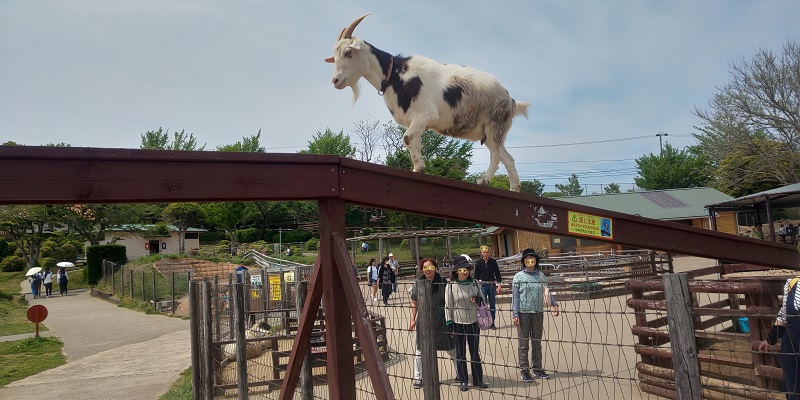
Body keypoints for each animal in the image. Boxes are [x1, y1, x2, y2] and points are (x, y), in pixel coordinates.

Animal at [324, 14, 532, 192]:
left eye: (348, 52)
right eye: (334, 56)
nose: (335, 81)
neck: (395, 74)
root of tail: (511, 101)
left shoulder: (425, 114)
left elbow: (406, 138)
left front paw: (420, 166)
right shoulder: (415, 120)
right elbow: (414, 142)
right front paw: (419, 168)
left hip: (494, 124)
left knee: (496, 156)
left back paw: (484, 180)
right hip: (489, 133)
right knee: (508, 158)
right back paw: (514, 189)